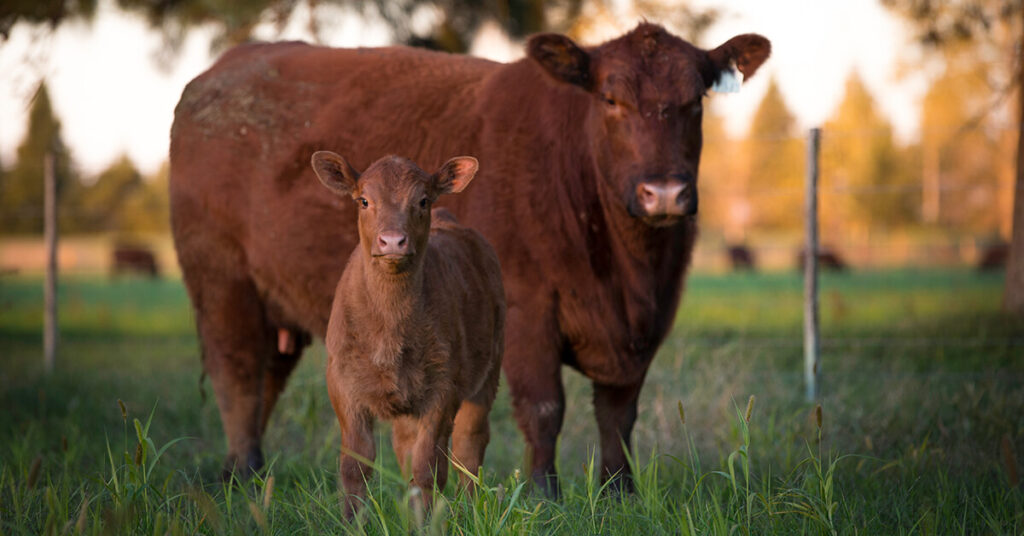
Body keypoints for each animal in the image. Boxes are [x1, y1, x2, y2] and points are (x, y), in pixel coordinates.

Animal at [312, 151, 504, 516]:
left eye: (423, 200)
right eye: (364, 200)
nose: (392, 241)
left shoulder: (443, 387)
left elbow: (428, 468)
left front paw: (427, 523)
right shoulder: (341, 383)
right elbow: (355, 466)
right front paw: (351, 522)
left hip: (489, 370)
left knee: (468, 448)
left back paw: (470, 512)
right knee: (406, 448)